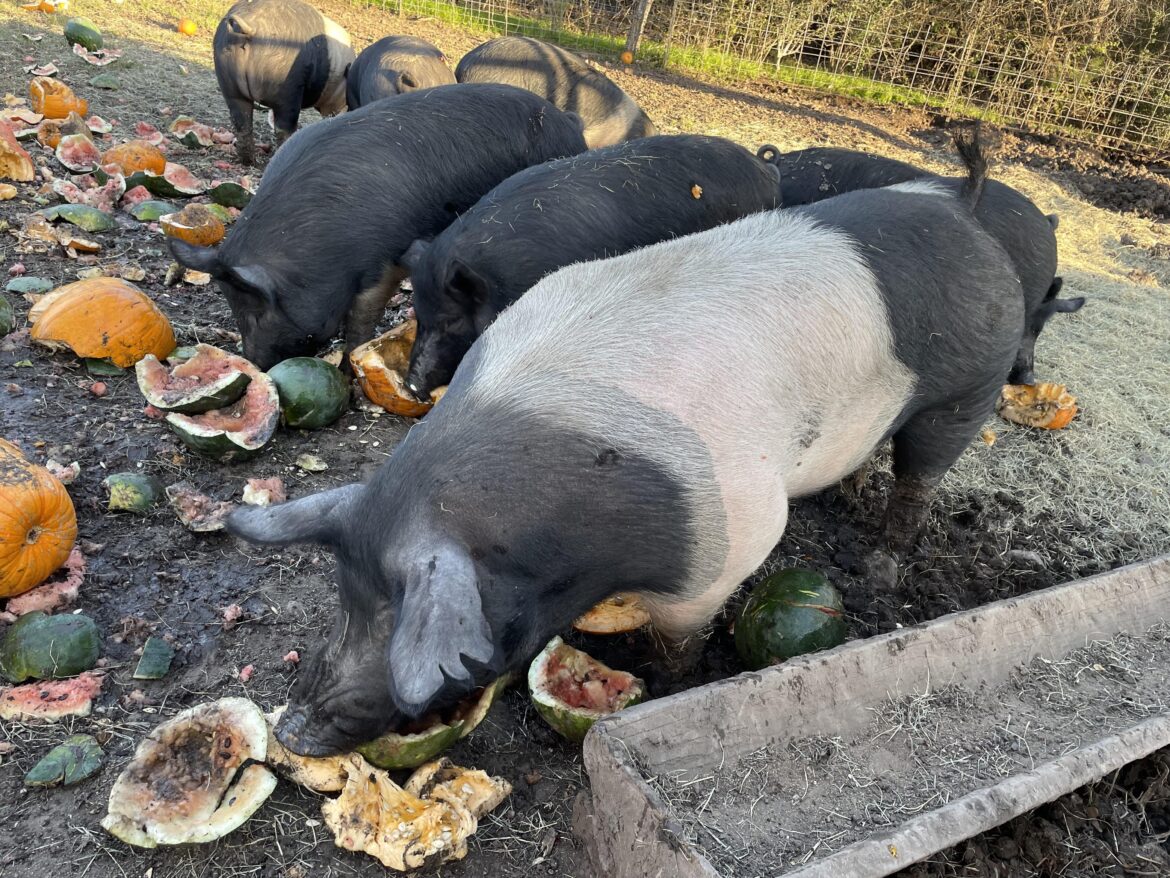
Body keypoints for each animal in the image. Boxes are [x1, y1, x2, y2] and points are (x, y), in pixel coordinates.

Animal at [168, 84, 587, 370]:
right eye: (233, 308)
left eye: (256, 312)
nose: (254, 363)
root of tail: (568, 121)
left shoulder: (384, 259)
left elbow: (361, 320)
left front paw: (348, 365)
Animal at [214, 0, 356, 166]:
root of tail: (250, 28)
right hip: (286, 85)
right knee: (284, 128)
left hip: (228, 81)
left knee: (241, 122)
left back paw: (249, 162)